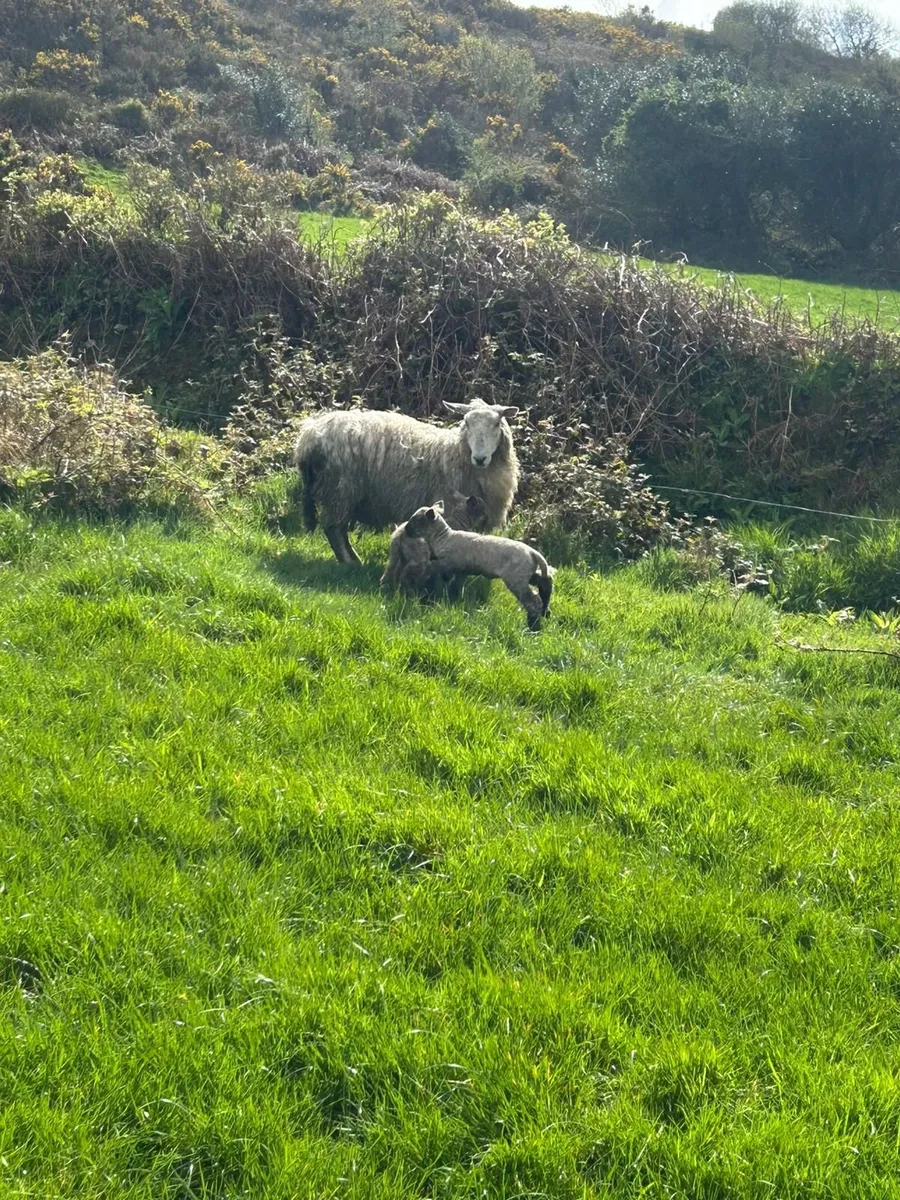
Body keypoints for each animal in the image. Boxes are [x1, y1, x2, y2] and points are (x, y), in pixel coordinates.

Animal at [294, 399, 519, 564]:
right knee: (334, 529)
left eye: (497, 423)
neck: (455, 453)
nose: (480, 458)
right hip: (340, 489)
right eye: (467, 423)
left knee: (337, 529)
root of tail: (308, 436)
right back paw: (350, 562)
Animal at [404, 504, 556, 631]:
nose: (405, 530)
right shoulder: (460, 571)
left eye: (417, 520)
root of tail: (533, 553)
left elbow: (431, 568)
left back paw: (533, 625)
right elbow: (455, 586)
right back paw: (545, 612)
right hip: (527, 574)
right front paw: (454, 600)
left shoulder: (447, 563)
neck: (443, 538)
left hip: (516, 579)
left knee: (533, 601)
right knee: (545, 582)